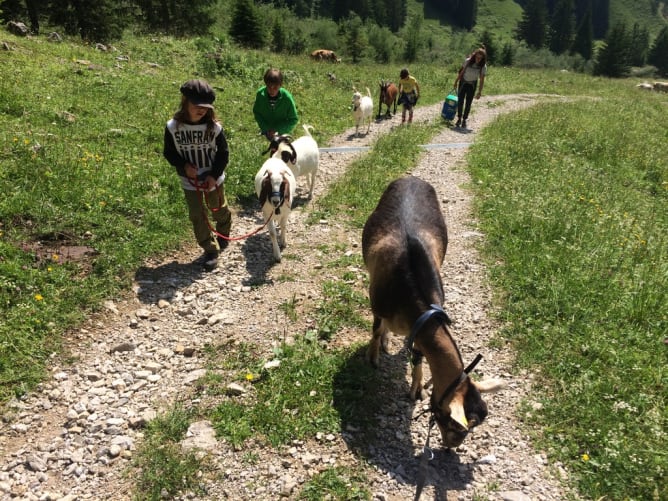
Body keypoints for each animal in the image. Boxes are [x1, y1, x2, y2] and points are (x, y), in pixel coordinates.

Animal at [362, 177, 504, 450]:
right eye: (455, 424)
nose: (451, 447)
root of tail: (411, 178)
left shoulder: (419, 327)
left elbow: (418, 355)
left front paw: (417, 388)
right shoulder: (378, 303)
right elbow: (375, 329)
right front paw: (373, 357)